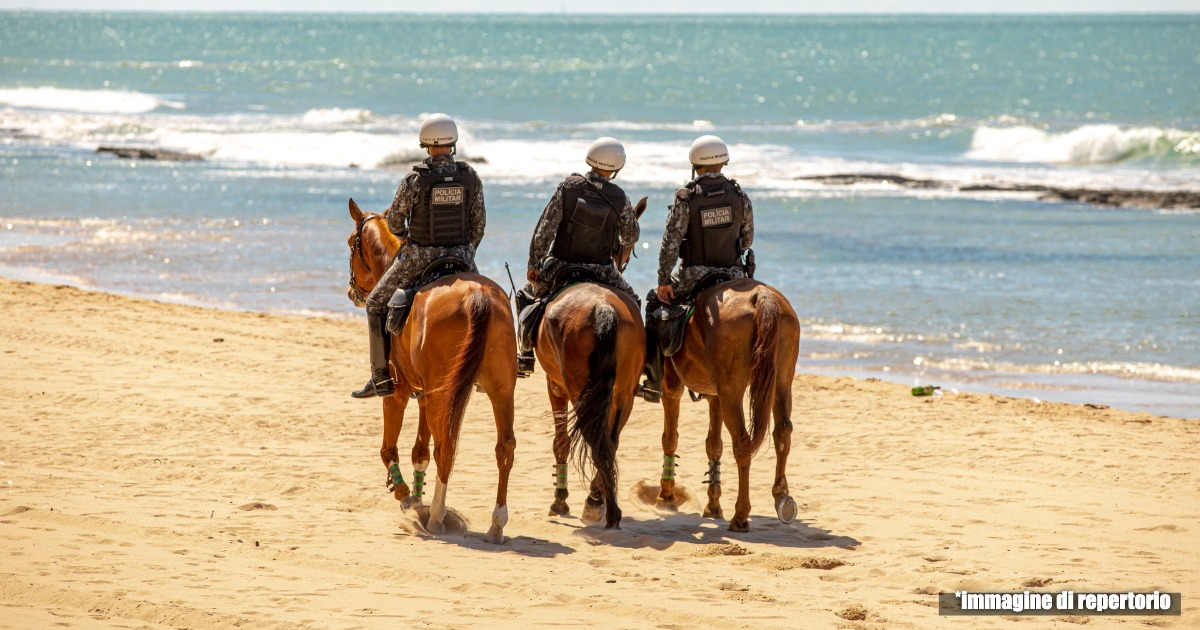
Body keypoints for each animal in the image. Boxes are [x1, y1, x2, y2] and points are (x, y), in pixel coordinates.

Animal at [345, 199, 518, 542]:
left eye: (349, 244)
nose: (352, 291)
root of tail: (476, 296)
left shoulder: (398, 393)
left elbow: (389, 449)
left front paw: (407, 499)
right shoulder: (425, 395)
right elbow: (420, 453)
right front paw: (416, 496)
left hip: (443, 394)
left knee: (446, 446)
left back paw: (437, 517)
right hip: (498, 391)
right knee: (503, 448)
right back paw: (496, 523)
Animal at [652, 277, 801, 528]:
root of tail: (762, 295)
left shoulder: (672, 388)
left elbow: (670, 438)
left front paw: (667, 495)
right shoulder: (715, 396)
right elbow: (714, 445)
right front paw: (713, 505)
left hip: (732, 389)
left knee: (742, 442)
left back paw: (741, 514)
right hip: (781, 380)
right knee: (782, 432)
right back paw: (781, 496)